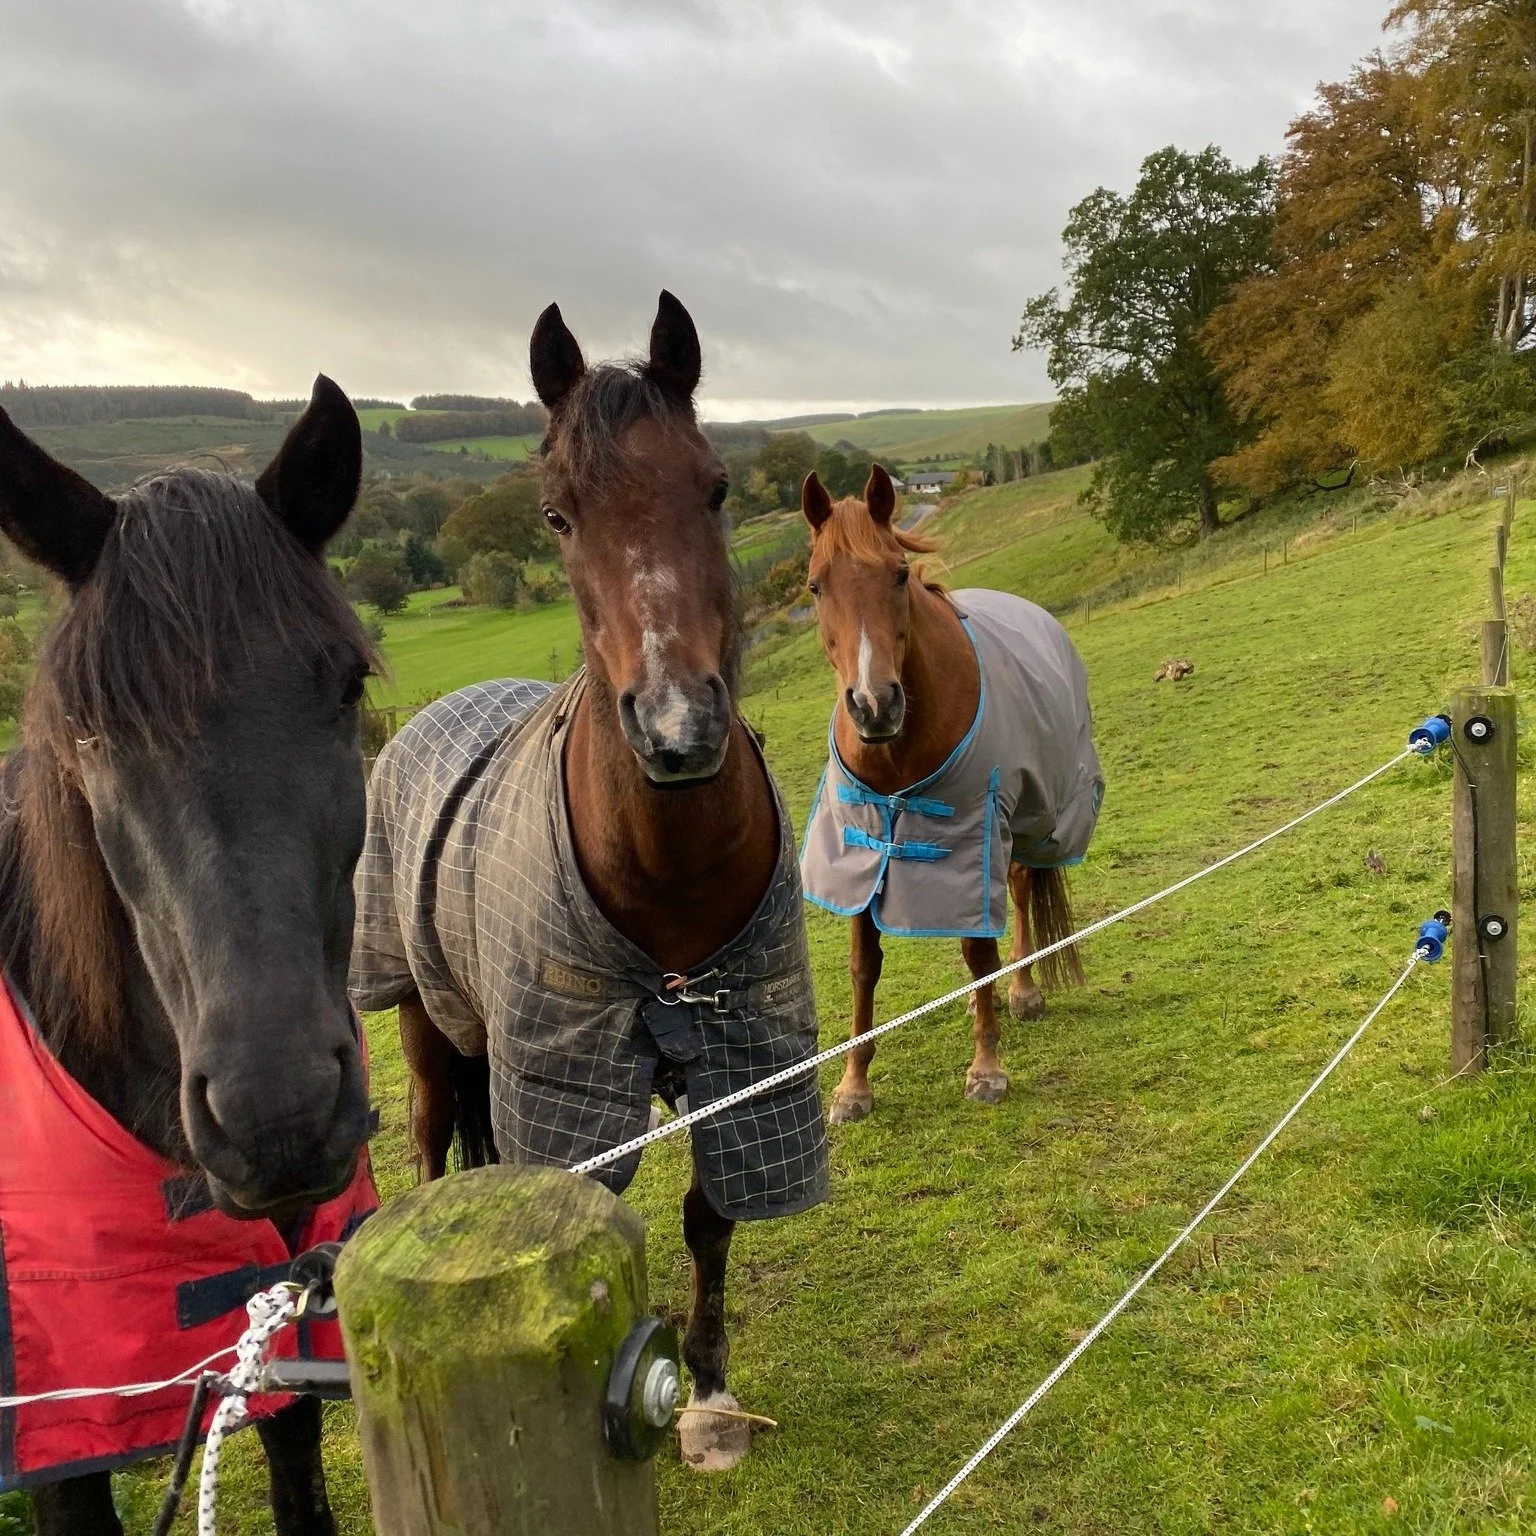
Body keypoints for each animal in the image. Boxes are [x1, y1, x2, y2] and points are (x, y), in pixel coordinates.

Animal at [350, 292, 829, 1474]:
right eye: (558, 515)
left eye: (715, 485)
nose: (677, 727)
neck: (663, 869)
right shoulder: (565, 1080)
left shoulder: (740, 1052)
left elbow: (710, 1212)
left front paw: (708, 1398)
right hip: (422, 1018)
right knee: (430, 1135)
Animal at [798, 465, 1104, 1124]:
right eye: (814, 586)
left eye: (898, 573)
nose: (874, 704)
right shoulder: (862, 852)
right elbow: (864, 968)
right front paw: (853, 1085)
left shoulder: (973, 835)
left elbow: (977, 950)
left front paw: (986, 1068)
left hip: (1025, 820)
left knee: (1019, 893)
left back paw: (1022, 990)